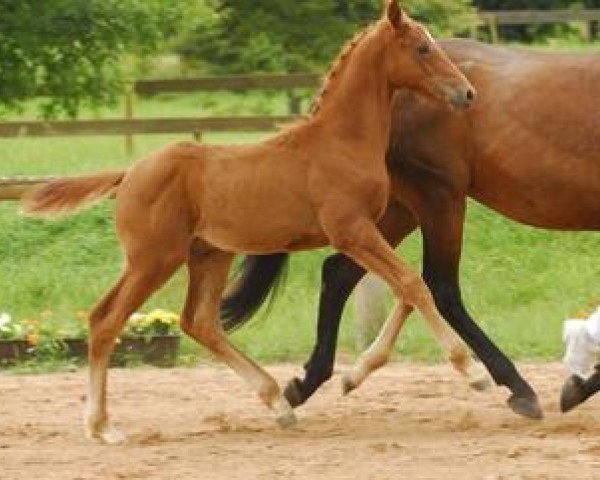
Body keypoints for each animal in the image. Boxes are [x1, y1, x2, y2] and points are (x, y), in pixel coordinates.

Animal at [22, 0, 474, 442]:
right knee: (106, 321)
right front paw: (471, 371)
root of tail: (129, 173)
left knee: (199, 322)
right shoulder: (352, 231)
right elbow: (412, 283)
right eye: (422, 48)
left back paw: (279, 404)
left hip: (209, 254)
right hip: (153, 260)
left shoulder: (368, 232)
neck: (339, 142)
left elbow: (410, 286)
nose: (467, 93)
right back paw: (102, 426)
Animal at [223, 38, 600, 420]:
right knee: (441, 287)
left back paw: (312, 381)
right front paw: (578, 387)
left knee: (342, 273)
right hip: (438, 196)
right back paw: (517, 387)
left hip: (395, 208)